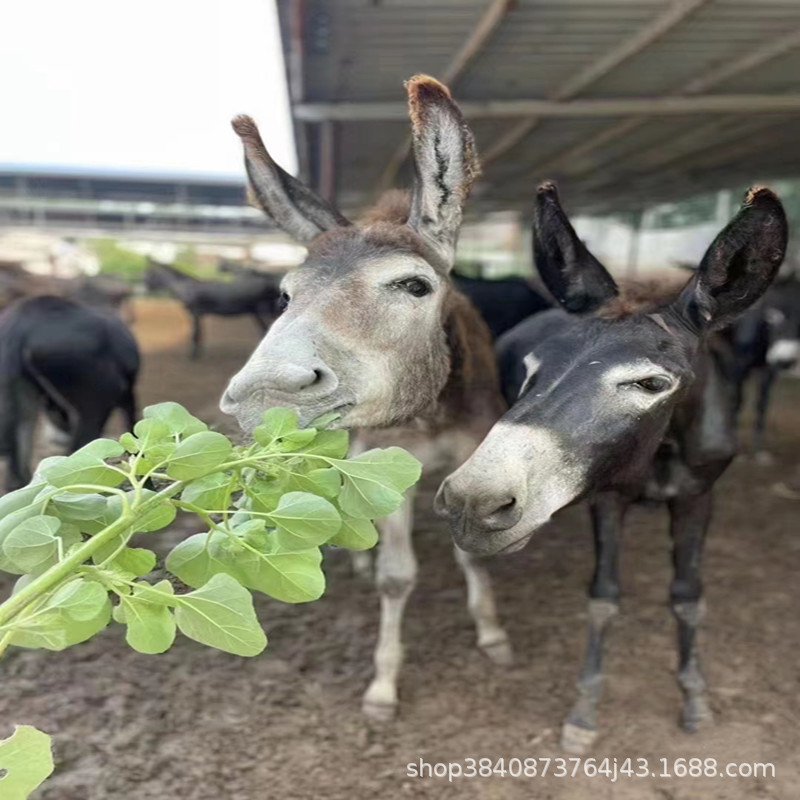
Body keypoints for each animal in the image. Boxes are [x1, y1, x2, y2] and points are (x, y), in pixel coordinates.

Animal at [0, 296, 139, 490]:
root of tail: (19, 325)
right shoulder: (125, 396)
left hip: (23, 401)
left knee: (17, 472)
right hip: (97, 402)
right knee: (79, 448)